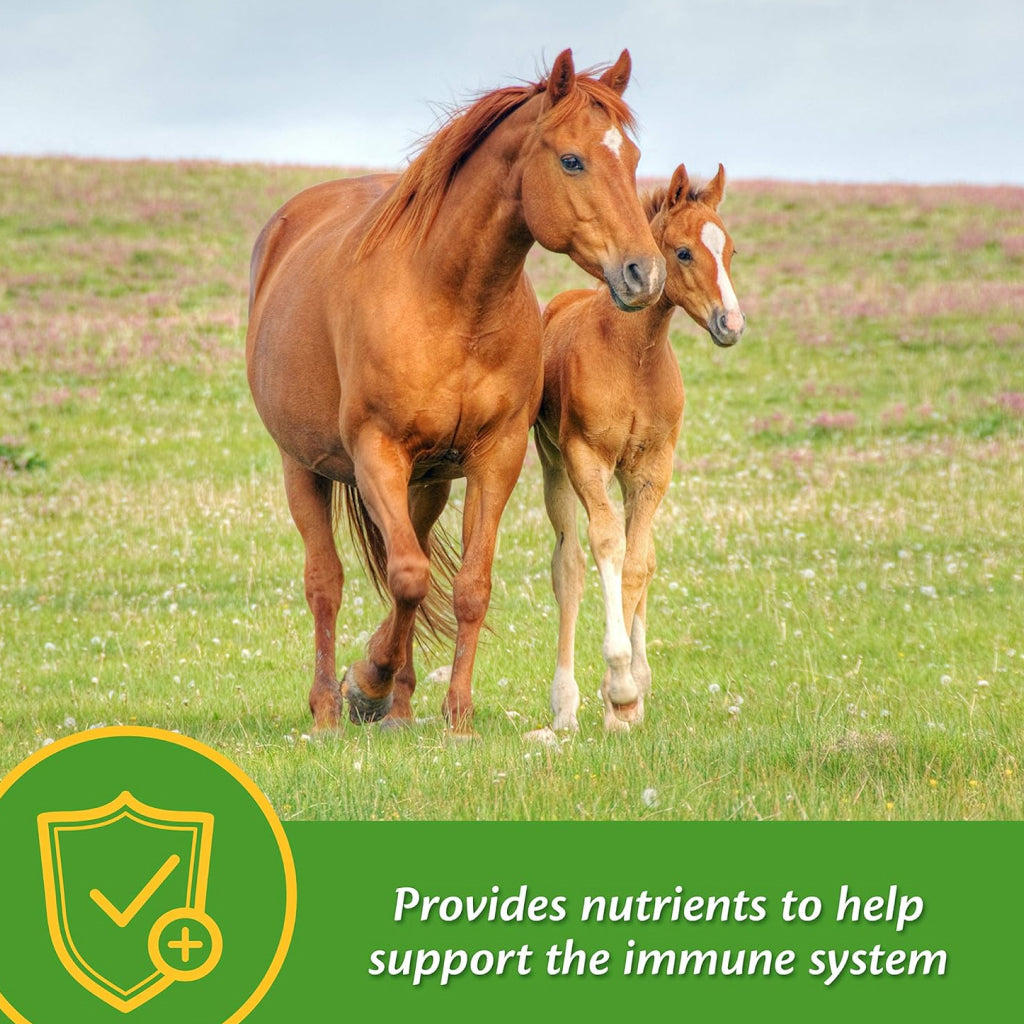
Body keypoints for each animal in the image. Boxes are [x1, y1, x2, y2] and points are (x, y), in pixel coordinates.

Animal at [246, 49, 666, 735]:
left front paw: (457, 716)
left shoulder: (495, 457)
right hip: (302, 466)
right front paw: (367, 682)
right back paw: (329, 708)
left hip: (427, 484)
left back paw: (401, 708)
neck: (452, 300)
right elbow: (410, 578)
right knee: (326, 582)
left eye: (631, 159)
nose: (644, 273)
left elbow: (467, 587)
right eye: (572, 160)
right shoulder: (376, 452)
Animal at [530, 162, 745, 733]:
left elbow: (638, 563)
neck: (633, 355)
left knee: (636, 554)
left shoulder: (653, 467)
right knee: (569, 566)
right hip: (555, 467)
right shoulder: (586, 458)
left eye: (731, 250)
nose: (731, 324)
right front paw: (619, 683)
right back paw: (565, 705)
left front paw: (626, 698)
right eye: (685, 252)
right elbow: (607, 547)